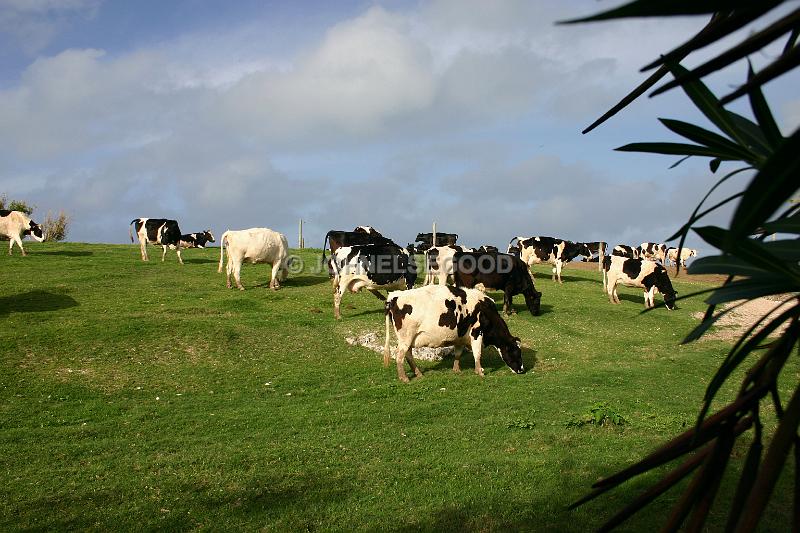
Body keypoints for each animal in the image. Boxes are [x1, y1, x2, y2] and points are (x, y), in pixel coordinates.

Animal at [382, 284, 524, 380]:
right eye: (516, 352)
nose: (522, 370)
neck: (486, 311)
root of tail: (395, 296)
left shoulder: (460, 336)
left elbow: (458, 353)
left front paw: (456, 369)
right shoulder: (476, 333)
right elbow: (477, 354)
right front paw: (480, 371)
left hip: (409, 339)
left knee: (408, 355)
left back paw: (418, 373)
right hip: (405, 337)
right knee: (400, 355)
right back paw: (404, 378)